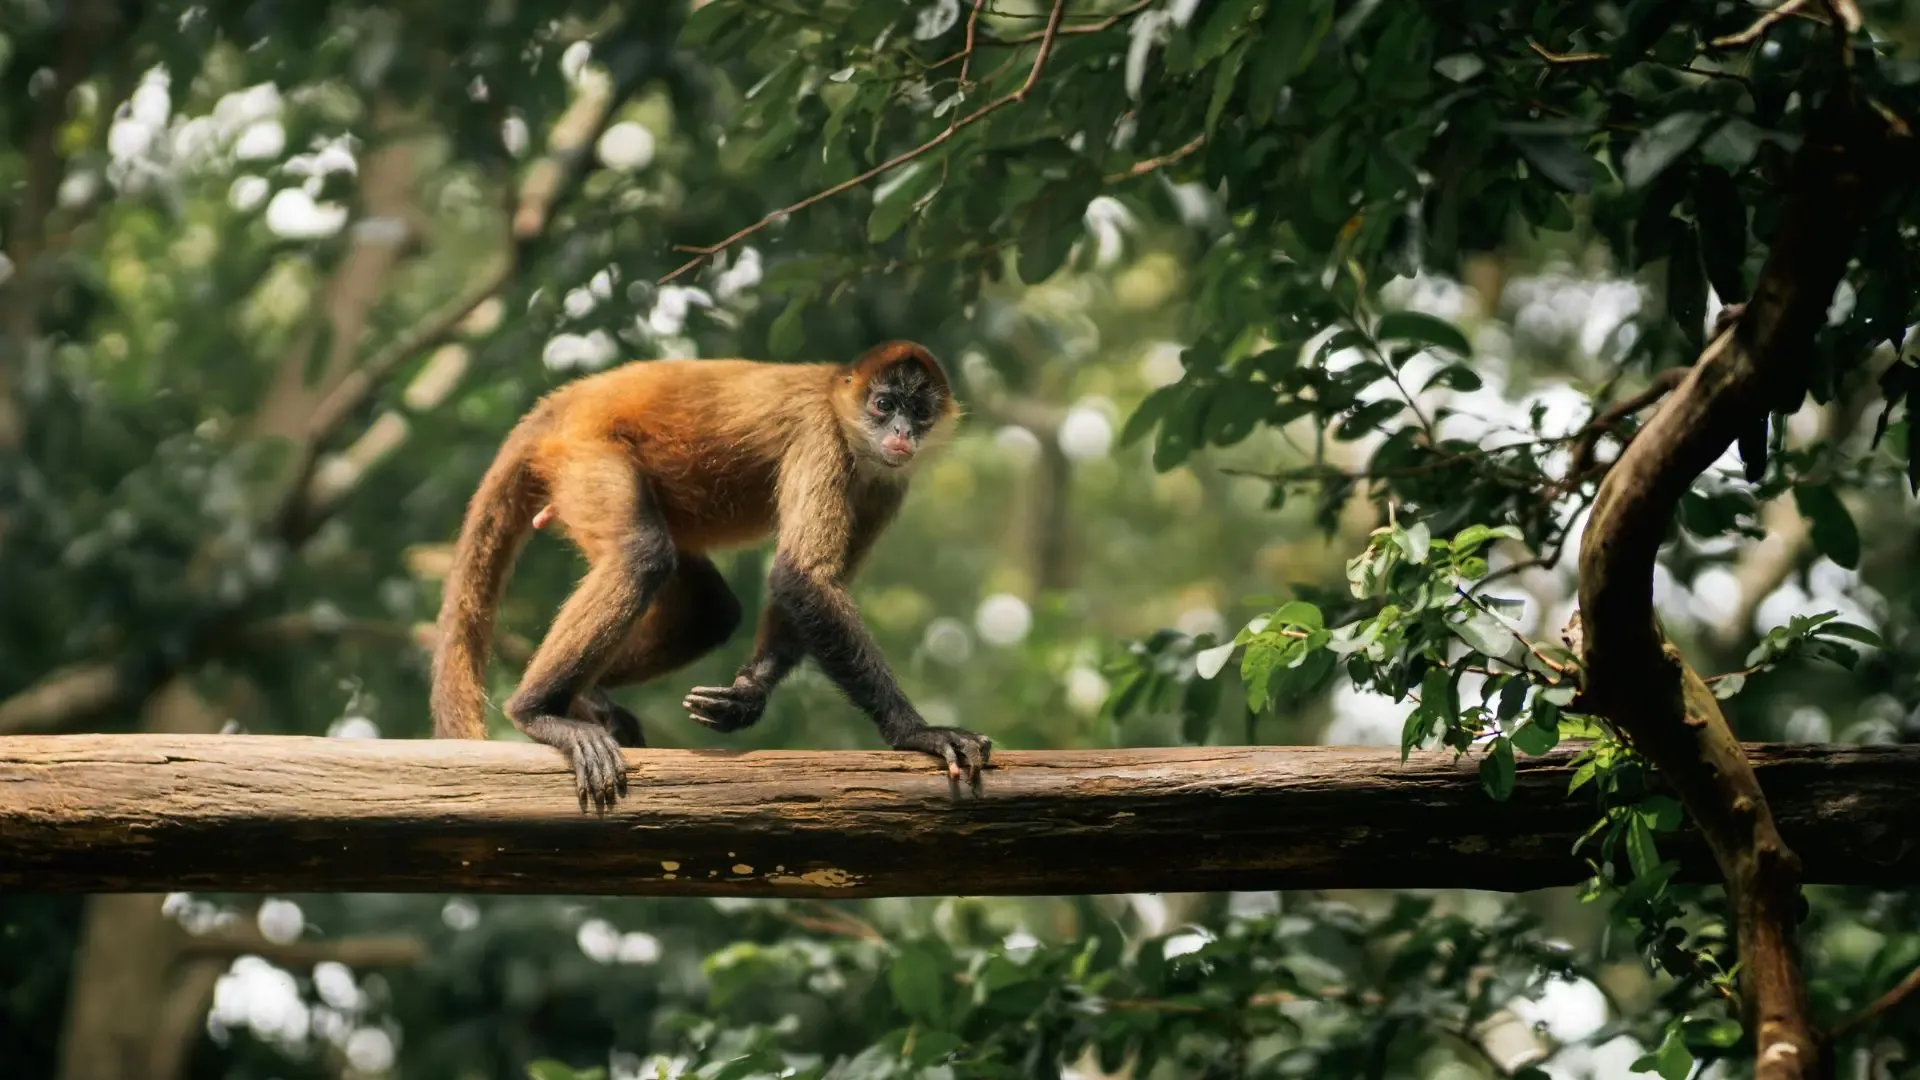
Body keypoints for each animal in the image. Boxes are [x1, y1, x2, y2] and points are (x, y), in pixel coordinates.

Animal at [428, 340, 991, 812]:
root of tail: (563, 402)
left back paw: (588, 698)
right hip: (584, 451)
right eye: (884, 404)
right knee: (642, 556)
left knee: (711, 612)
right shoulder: (821, 433)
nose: (900, 433)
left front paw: (746, 698)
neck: (838, 401)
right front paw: (918, 733)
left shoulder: (886, 482)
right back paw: (538, 712)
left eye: (918, 412)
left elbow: (804, 587)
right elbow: (801, 577)